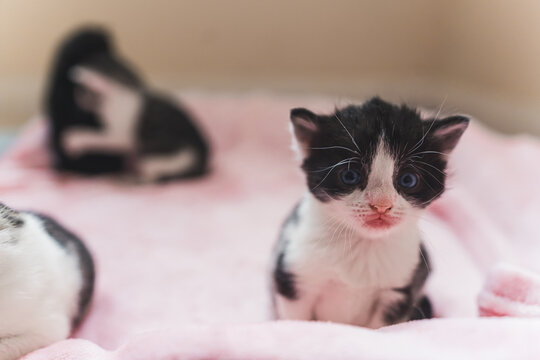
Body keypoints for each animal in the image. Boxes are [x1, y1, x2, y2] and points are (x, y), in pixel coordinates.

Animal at [44, 27, 210, 183]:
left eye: (80, 92)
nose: (78, 103)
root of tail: (203, 163)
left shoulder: (120, 134)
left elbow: (97, 136)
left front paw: (74, 139)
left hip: (155, 156)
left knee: (153, 177)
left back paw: (129, 179)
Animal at [272, 97, 470, 328]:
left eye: (408, 180)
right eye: (349, 175)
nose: (381, 204)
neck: (364, 244)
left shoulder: (399, 290)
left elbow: (379, 327)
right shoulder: (294, 277)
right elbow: (295, 320)